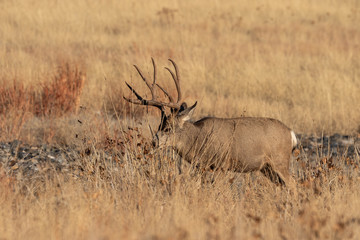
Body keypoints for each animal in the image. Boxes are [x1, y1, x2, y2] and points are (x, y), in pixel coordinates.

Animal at [124, 58, 298, 189]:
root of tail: (291, 134)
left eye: (169, 128)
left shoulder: (222, 164)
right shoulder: (203, 167)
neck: (198, 138)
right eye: (159, 126)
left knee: (294, 185)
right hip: (267, 168)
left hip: (279, 160)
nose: (154, 142)